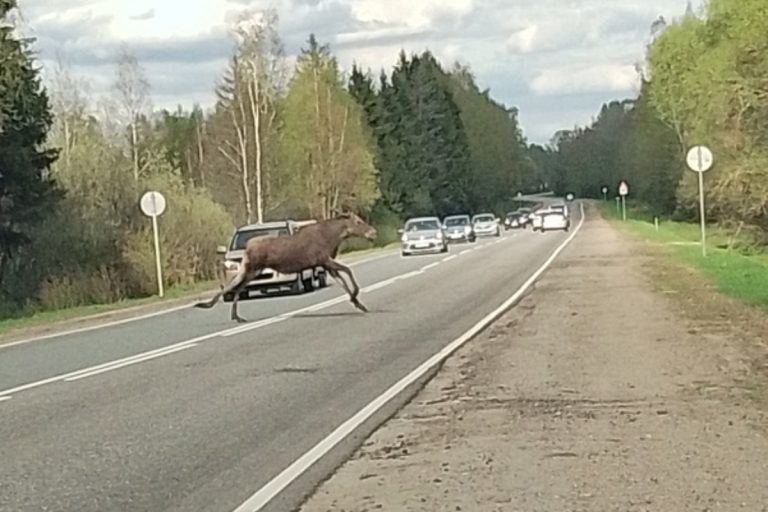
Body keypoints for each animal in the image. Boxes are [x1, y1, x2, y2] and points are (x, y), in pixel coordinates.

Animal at [195, 210, 378, 322]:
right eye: (358, 221)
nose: (373, 232)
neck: (333, 238)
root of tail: (247, 248)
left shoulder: (325, 264)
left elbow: (343, 281)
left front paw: (357, 302)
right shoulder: (324, 260)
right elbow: (348, 271)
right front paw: (356, 298)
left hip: (253, 270)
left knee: (237, 288)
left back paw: (234, 315)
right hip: (252, 268)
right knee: (235, 287)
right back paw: (225, 312)